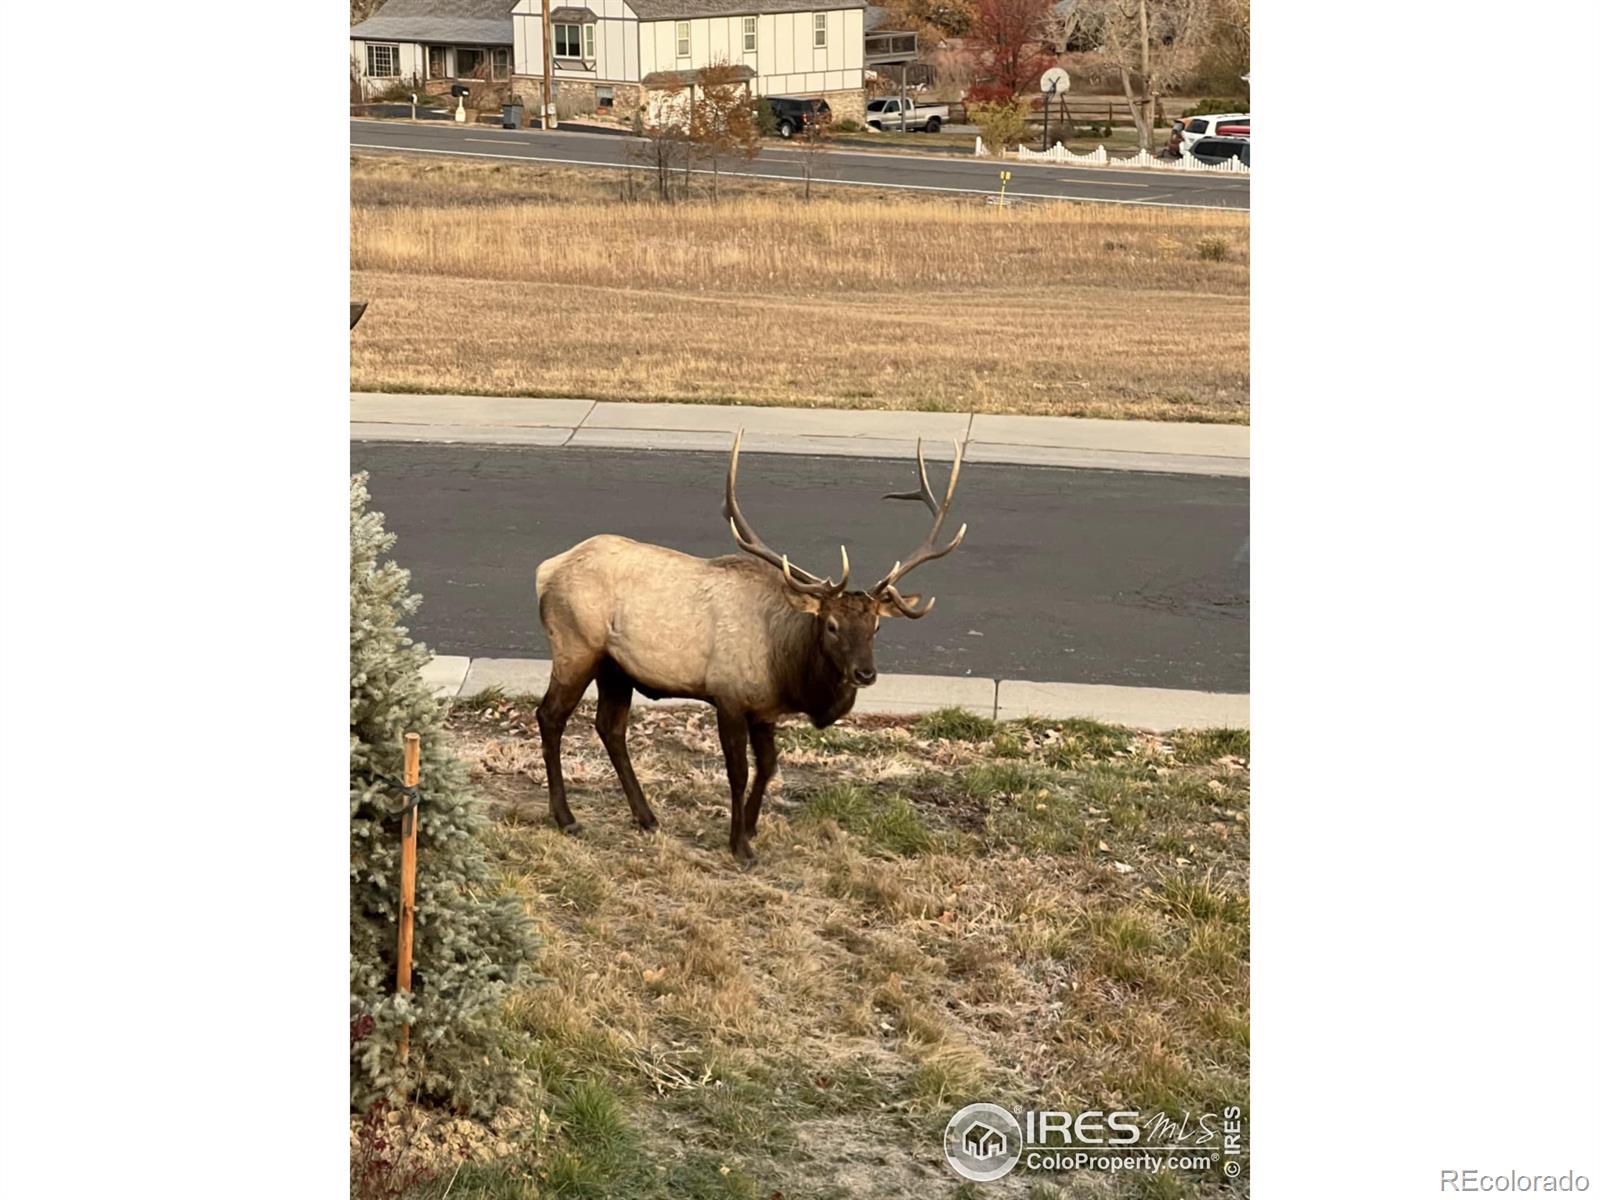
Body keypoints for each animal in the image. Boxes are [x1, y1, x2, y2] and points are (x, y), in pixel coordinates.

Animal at [534, 432, 960, 864]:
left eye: (876, 625)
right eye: (831, 625)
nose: (865, 673)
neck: (785, 667)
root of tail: (546, 570)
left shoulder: (764, 709)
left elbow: (769, 765)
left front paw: (752, 826)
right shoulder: (729, 696)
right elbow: (738, 771)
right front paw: (739, 844)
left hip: (616, 667)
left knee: (610, 727)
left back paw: (646, 816)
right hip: (575, 647)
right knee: (550, 716)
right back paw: (566, 817)